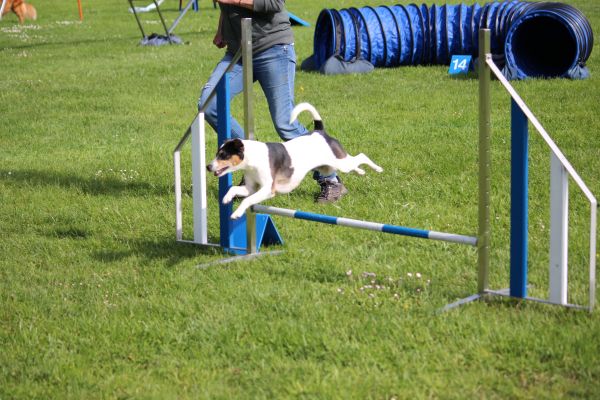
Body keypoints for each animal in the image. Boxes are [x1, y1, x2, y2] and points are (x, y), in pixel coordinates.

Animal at [207, 102, 384, 219]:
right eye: (217, 153)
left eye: (223, 155)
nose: (208, 166)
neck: (253, 159)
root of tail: (319, 132)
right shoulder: (250, 188)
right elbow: (234, 190)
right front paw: (226, 198)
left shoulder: (267, 189)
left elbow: (248, 200)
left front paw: (236, 213)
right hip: (328, 166)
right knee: (353, 164)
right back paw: (361, 172)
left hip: (340, 162)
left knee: (361, 156)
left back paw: (378, 169)